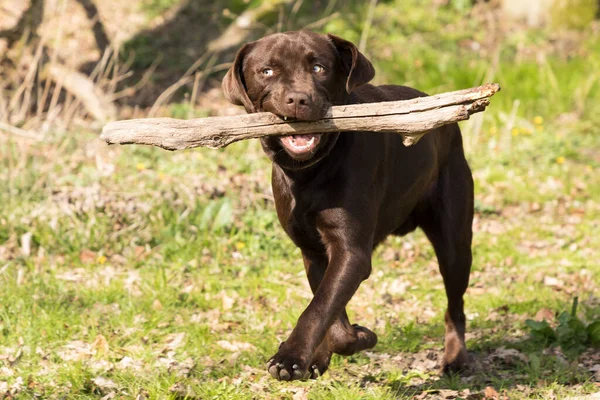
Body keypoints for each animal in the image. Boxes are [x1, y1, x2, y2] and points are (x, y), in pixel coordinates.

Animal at [221, 29, 474, 380]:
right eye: (267, 71)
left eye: (319, 68)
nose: (298, 99)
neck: (309, 174)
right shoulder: (314, 252)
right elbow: (329, 310)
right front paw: (333, 348)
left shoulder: (350, 251)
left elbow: (319, 308)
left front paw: (290, 357)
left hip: (454, 242)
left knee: (455, 306)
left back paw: (456, 357)